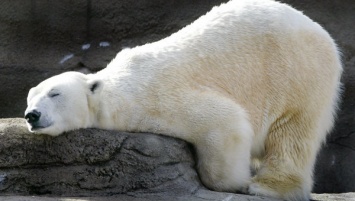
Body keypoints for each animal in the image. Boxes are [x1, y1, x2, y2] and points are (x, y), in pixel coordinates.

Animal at [23, 0, 344, 200]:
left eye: (55, 93)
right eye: (29, 98)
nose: (32, 115)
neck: (114, 91)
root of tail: (322, 33)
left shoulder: (157, 97)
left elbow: (226, 121)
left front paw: (237, 183)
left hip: (296, 72)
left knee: (292, 131)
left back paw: (266, 187)